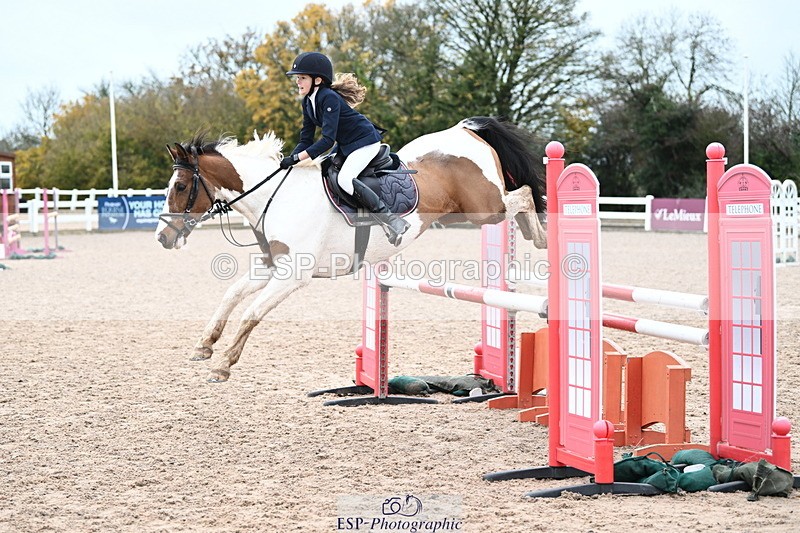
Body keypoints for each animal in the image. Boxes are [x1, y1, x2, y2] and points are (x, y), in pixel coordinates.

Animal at [156, 116, 546, 382]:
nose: (162, 238)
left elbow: (252, 312)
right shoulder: (273, 265)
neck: (276, 197)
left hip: (482, 208)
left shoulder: (292, 276)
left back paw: (540, 236)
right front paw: (204, 345)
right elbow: (233, 293)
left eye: (179, 187)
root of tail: (465, 129)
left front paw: (223, 365)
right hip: (465, 213)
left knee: (524, 194)